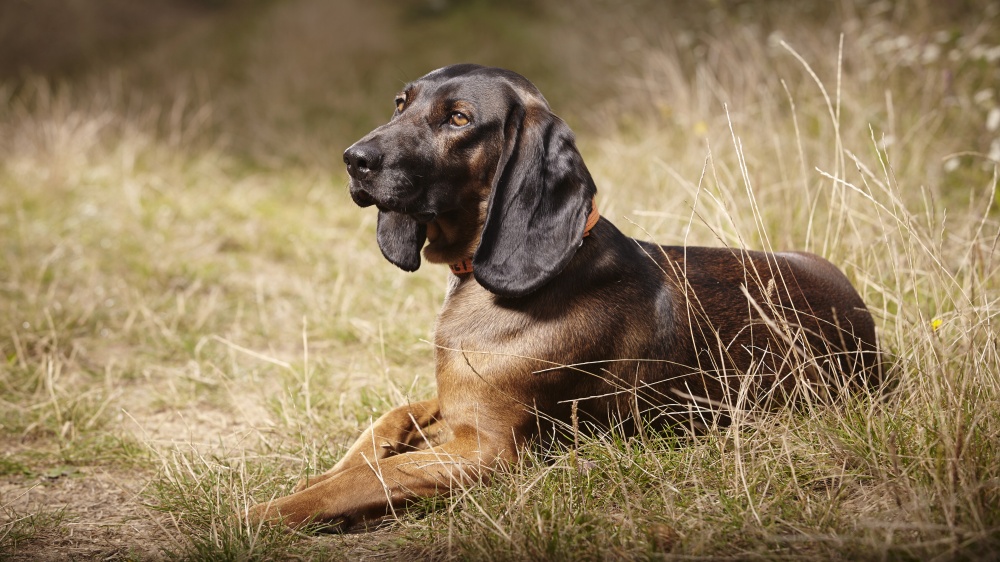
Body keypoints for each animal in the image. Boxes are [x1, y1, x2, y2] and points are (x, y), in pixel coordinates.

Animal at [248, 63, 876, 528]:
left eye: (458, 118)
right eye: (400, 104)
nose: (354, 159)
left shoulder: (487, 450)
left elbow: (365, 478)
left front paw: (256, 515)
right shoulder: (453, 406)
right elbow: (384, 424)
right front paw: (324, 472)